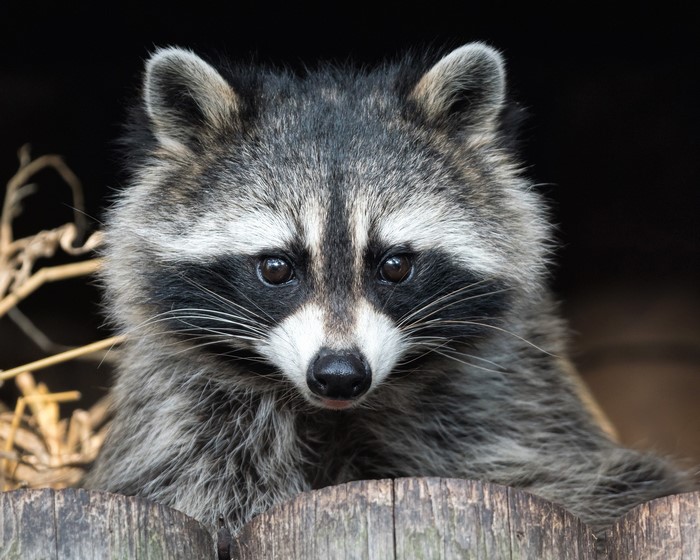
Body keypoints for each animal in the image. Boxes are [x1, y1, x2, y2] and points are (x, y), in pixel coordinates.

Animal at [86, 43, 691, 538]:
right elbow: (198, 483)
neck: (332, 414)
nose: (338, 374)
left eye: (395, 266)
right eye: (277, 268)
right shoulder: (184, 413)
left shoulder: (508, 400)